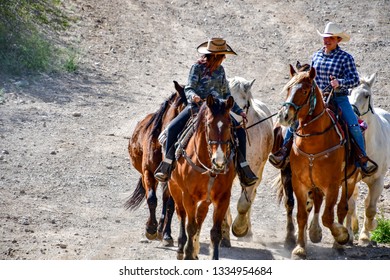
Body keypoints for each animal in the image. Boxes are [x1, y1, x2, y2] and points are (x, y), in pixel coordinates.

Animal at [125, 81, 186, 245]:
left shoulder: (171, 178)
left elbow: (170, 204)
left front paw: (163, 232)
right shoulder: (148, 173)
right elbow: (152, 199)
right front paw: (150, 229)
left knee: (167, 201)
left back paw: (163, 231)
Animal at [168, 94, 235, 260]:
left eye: (229, 124)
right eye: (209, 124)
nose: (219, 161)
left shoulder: (223, 198)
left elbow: (215, 232)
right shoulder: (188, 197)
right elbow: (190, 226)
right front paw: (188, 254)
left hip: (206, 199)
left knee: (200, 216)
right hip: (174, 189)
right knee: (181, 214)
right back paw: (181, 248)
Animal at [222, 76, 274, 241]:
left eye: (244, 105)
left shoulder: (254, 170)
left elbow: (245, 202)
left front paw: (239, 229)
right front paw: (224, 229)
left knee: (251, 195)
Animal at [278, 64, 360, 260]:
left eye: (305, 90)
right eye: (288, 88)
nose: (284, 116)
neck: (313, 143)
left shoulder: (332, 185)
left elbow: (328, 217)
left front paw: (342, 235)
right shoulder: (299, 183)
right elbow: (301, 215)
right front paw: (300, 248)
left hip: (350, 180)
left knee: (341, 208)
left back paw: (338, 244)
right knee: (316, 202)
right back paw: (315, 232)